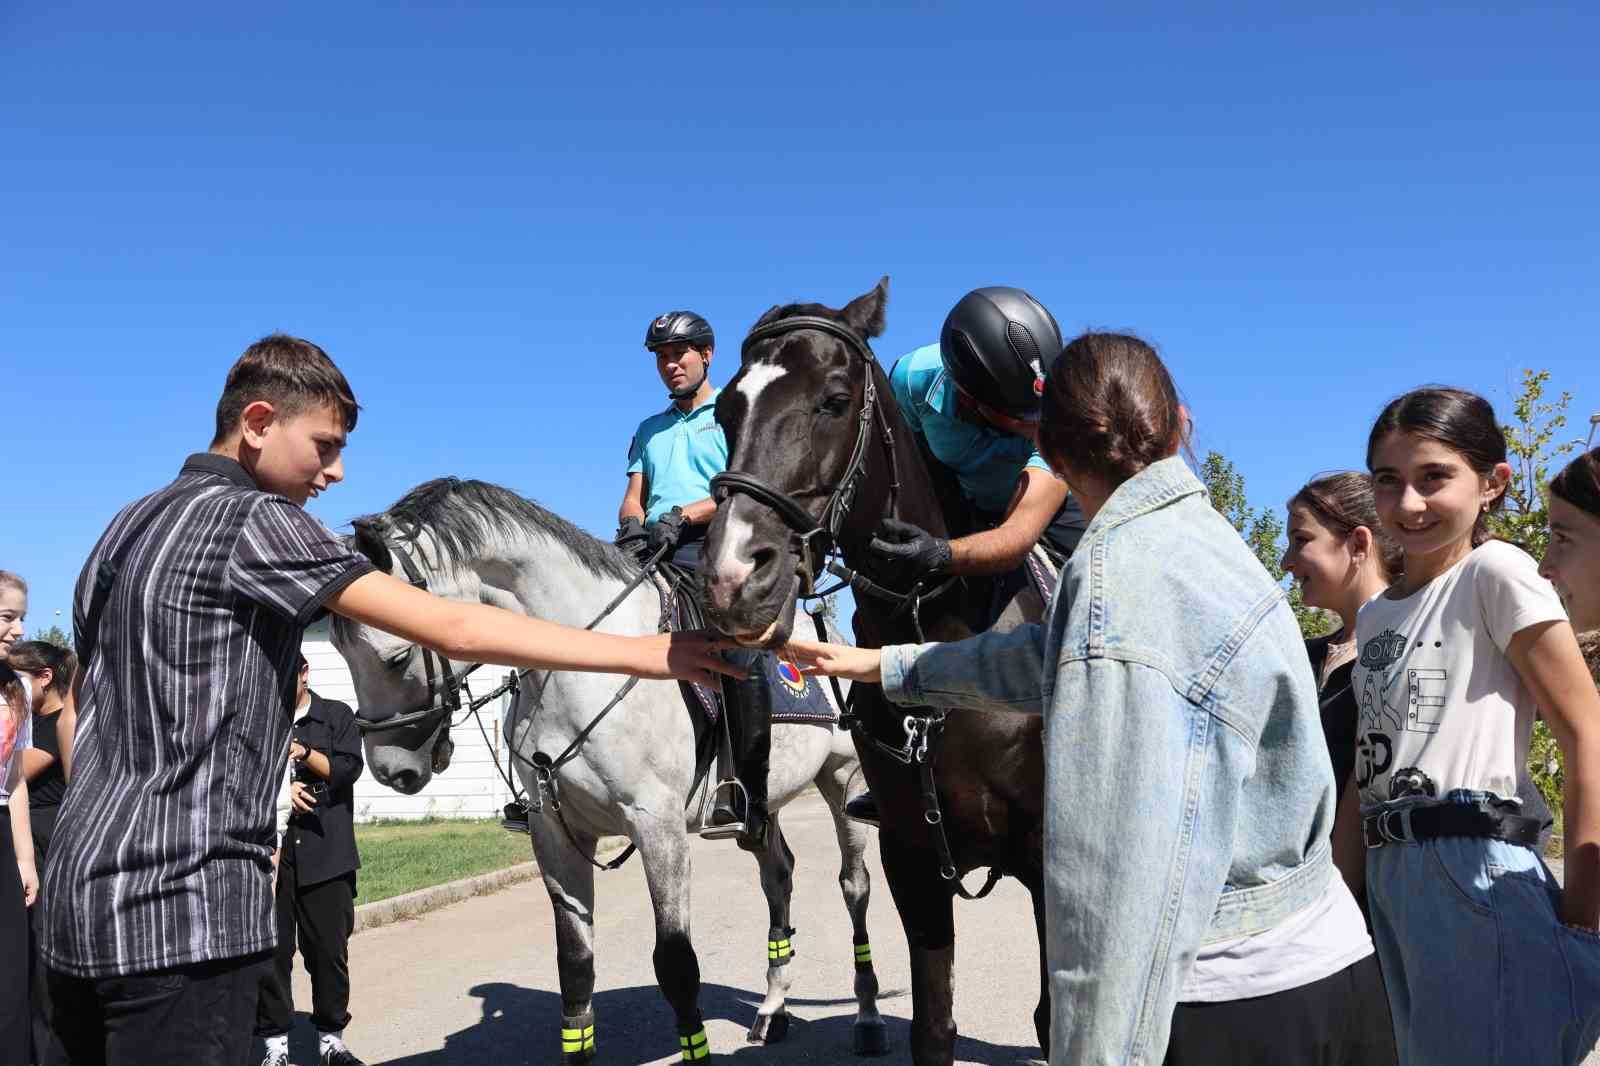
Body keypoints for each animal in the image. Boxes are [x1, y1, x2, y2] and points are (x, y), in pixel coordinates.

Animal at [324, 476, 889, 1056]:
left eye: (395, 656)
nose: (391, 769)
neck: (583, 665)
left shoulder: (659, 828)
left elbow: (676, 964)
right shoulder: (555, 833)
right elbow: (575, 966)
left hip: (842, 781)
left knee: (854, 885)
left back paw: (867, 1019)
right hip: (761, 806)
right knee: (778, 876)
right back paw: (774, 1010)